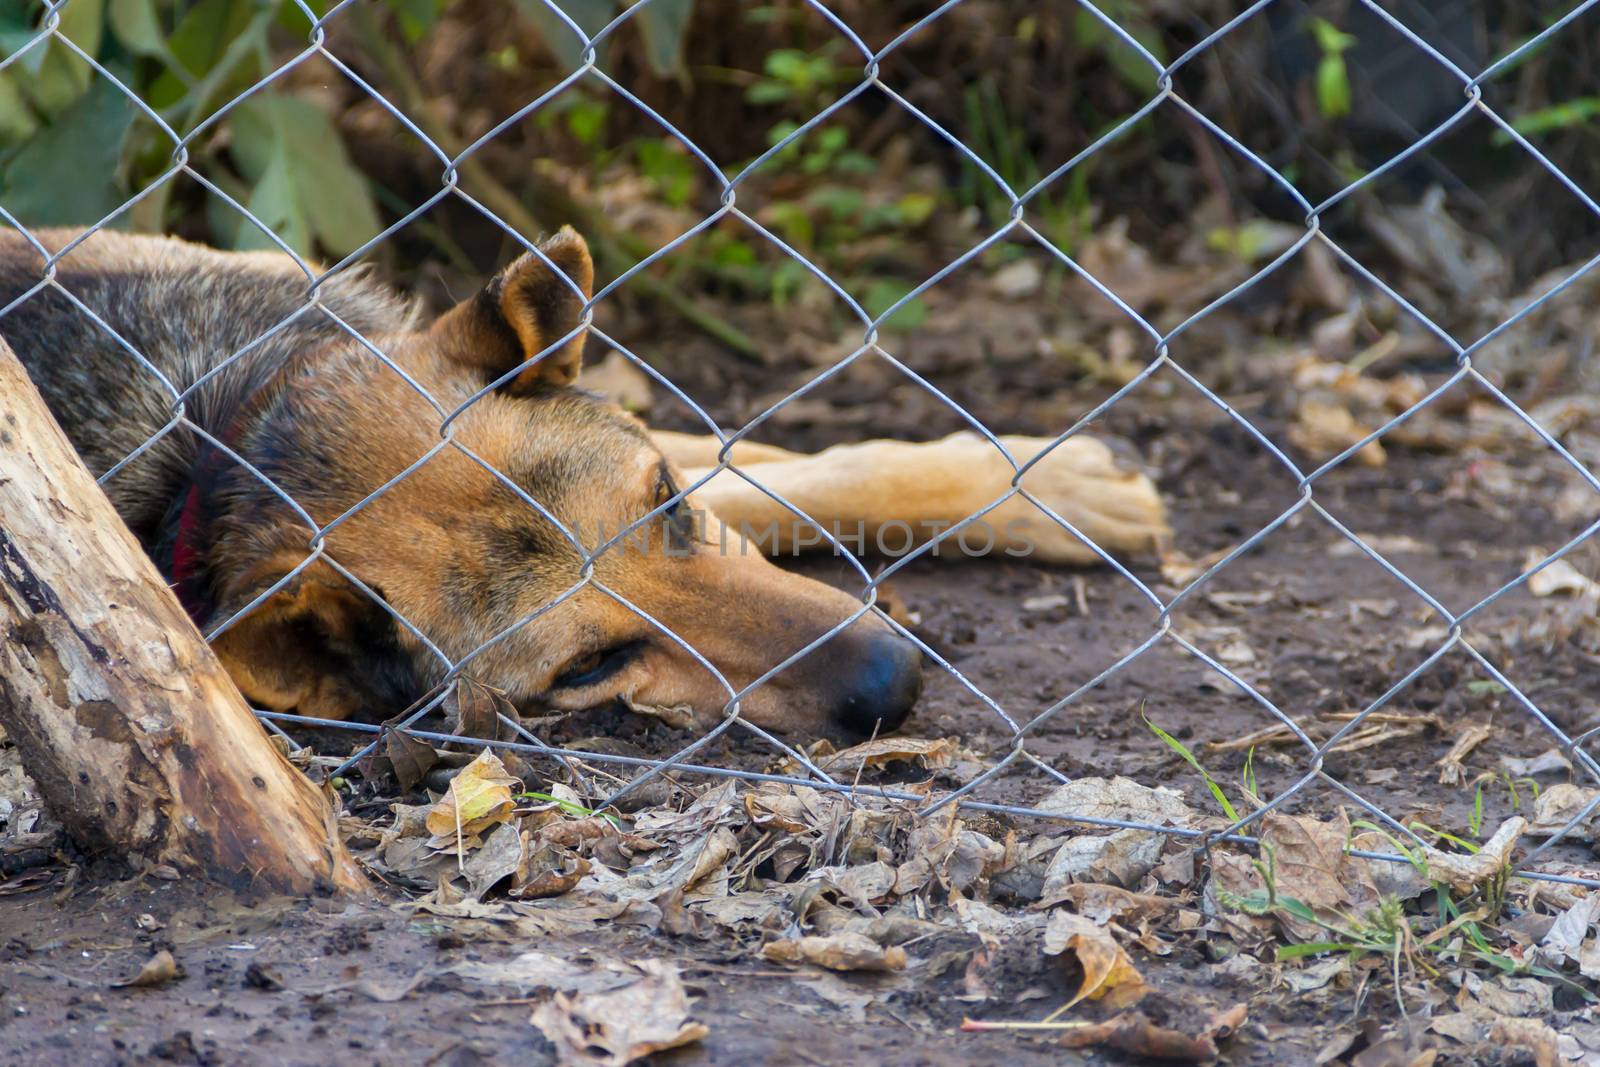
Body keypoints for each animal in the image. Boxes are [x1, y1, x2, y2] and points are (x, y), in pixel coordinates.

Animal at [6, 228, 1171, 739]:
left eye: (666, 507)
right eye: (591, 665)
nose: (897, 685)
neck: (224, 435)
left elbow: (806, 465)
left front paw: (1056, 481)